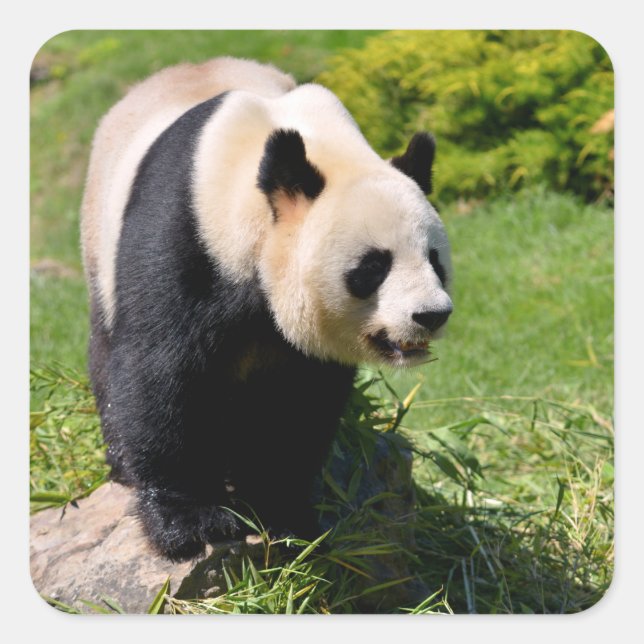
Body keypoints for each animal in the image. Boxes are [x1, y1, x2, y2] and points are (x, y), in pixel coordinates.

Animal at [80, 57, 453, 562]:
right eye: (374, 266)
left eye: (435, 260)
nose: (430, 315)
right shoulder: (187, 233)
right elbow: (160, 373)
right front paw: (192, 524)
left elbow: (297, 403)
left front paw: (283, 514)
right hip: (99, 245)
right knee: (108, 356)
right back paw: (122, 464)